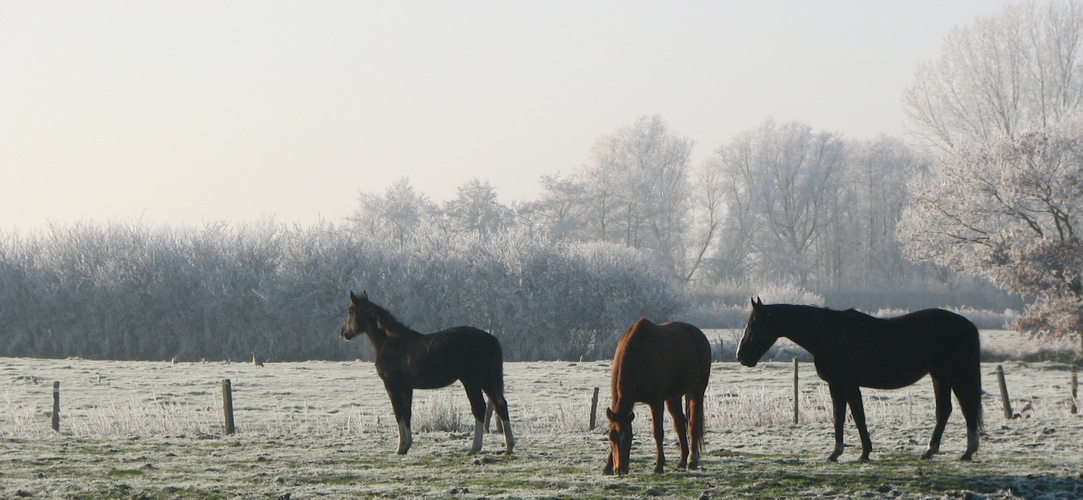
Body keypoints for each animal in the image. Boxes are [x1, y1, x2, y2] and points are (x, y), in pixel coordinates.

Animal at [340, 290, 513, 454]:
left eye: (349, 311)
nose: (344, 332)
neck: (390, 341)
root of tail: (490, 338)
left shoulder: (392, 385)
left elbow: (398, 412)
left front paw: (400, 447)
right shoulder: (406, 387)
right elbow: (407, 413)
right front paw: (407, 445)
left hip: (471, 381)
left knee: (479, 407)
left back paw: (474, 448)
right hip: (486, 380)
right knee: (500, 404)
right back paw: (508, 447)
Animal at [602, 318, 710, 474]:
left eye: (629, 438)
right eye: (611, 438)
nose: (620, 469)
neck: (639, 353)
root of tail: (700, 334)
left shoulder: (656, 402)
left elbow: (658, 432)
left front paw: (659, 465)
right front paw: (607, 467)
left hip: (697, 389)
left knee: (693, 424)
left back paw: (691, 461)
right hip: (674, 396)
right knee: (679, 422)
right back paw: (683, 460)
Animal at [736, 298, 983, 463]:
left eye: (753, 323)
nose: (741, 356)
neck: (828, 334)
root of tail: (967, 325)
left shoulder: (839, 384)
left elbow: (839, 417)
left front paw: (835, 453)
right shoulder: (851, 386)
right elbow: (859, 416)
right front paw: (865, 453)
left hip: (952, 375)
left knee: (964, 409)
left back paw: (965, 451)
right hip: (941, 377)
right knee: (947, 410)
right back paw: (933, 451)